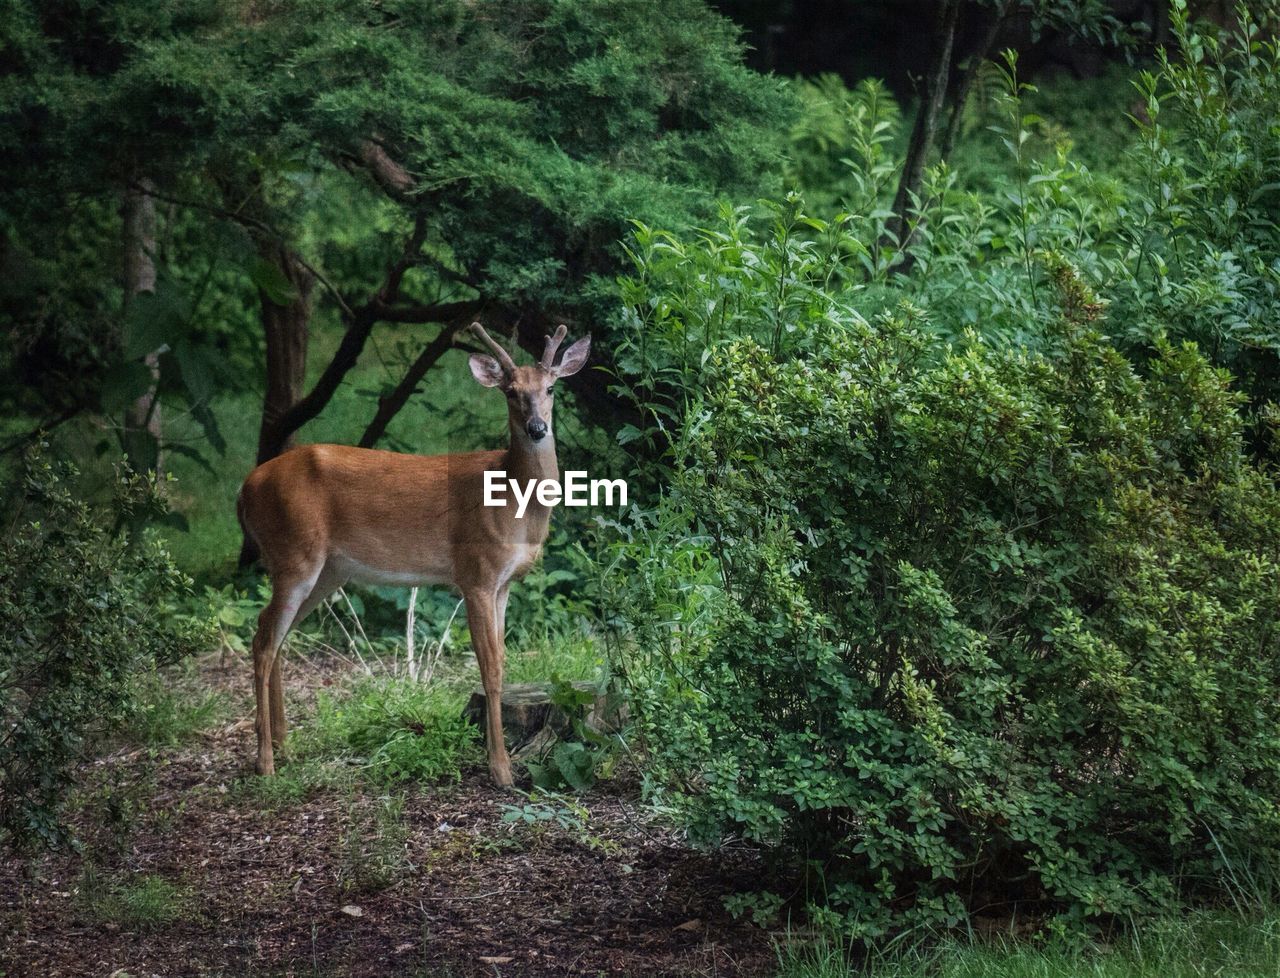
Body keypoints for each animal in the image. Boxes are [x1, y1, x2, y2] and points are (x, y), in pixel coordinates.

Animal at [236, 321, 588, 788]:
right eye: (511, 392)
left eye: (551, 387)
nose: (536, 428)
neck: (513, 499)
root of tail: (245, 489)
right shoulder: (474, 573)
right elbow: (490, 668)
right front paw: (500, 769)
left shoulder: (505, 584)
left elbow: (503, 660)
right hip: (295, 554)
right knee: (262, 640)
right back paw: (265, 761)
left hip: (326, 571)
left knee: (274, 635)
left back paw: (283, 744)